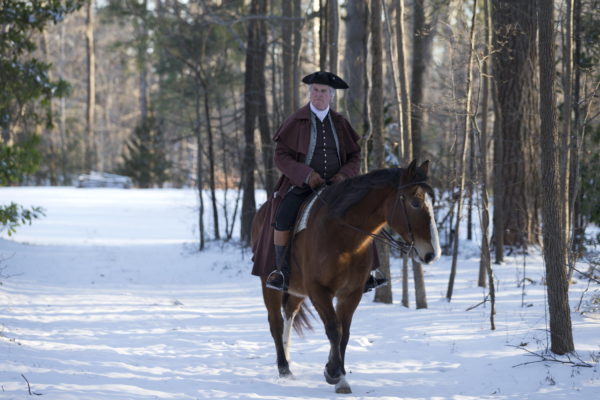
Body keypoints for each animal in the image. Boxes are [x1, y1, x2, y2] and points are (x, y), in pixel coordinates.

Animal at [250, 159, 440, 394]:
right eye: (415, 203)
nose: (432, 254)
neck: (343, 236)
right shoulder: (319, 291)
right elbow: (334, 329)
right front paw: (335, 375)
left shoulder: (351, 292)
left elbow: (345, 332)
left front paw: (336, 372)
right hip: (269, 283)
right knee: (275, 321)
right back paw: (283, 367)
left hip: (296, 289)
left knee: (289, 313)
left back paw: (287, 356)